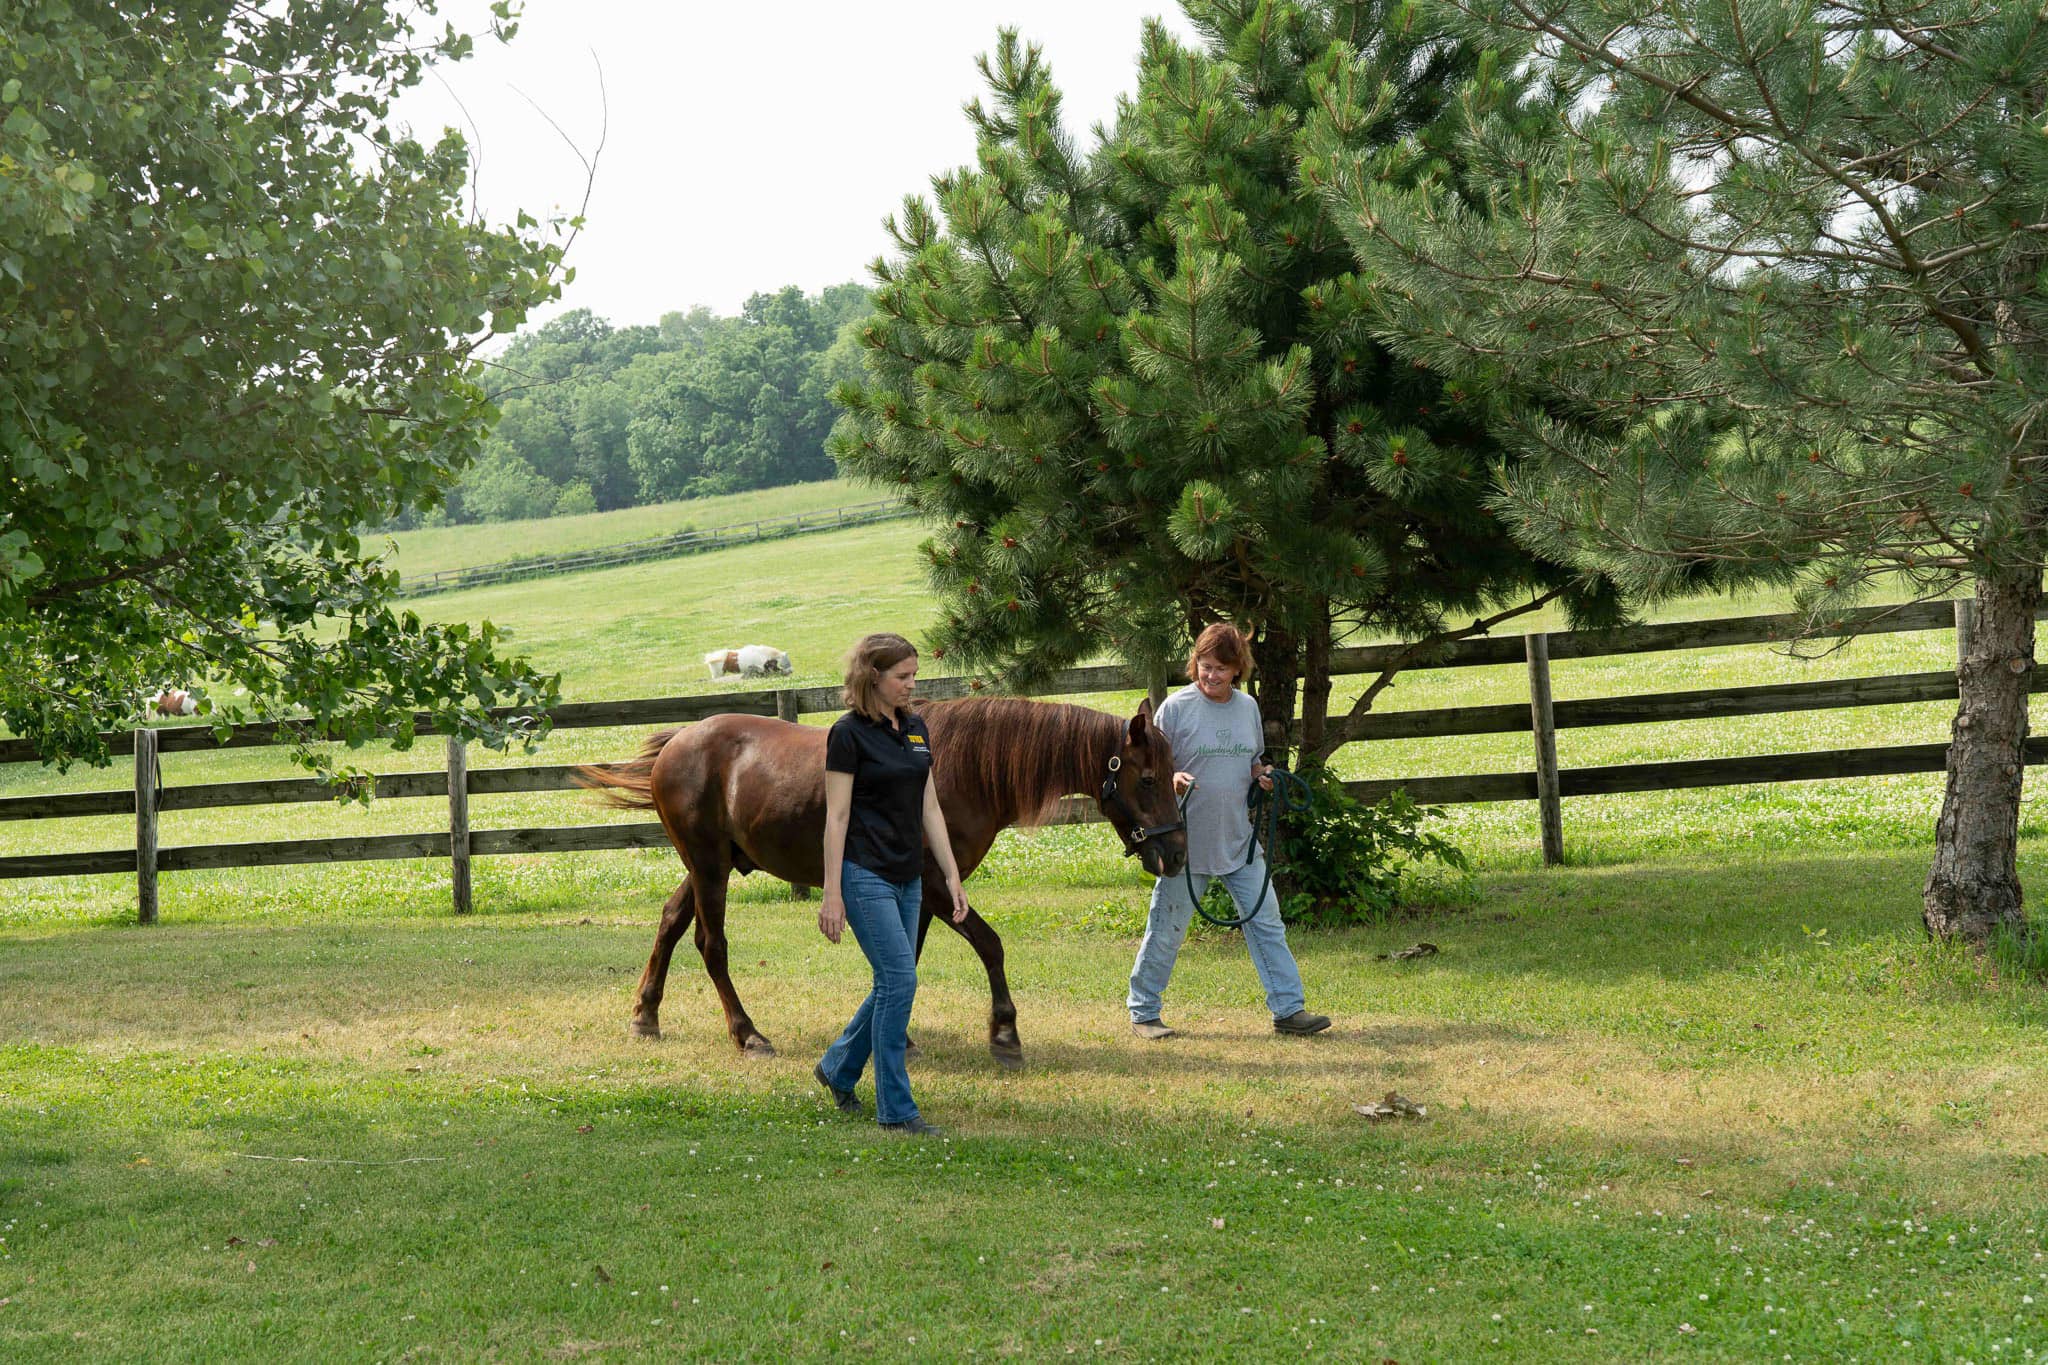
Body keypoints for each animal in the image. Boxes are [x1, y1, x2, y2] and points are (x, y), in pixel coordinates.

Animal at [574, 695, 1189, 1067]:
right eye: (1148, 778)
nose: (1178, 853)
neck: (958, 770)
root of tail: (680, 741)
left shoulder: (919, 893)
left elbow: (906, 959)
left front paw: (895, 1033)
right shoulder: (939, 888)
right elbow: (990, 945)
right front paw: (1004, 1033)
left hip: (708, 865)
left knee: (670, 924)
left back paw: (645, 1017)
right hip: (708, 869)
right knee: (710, 944)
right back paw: (747, 1033)